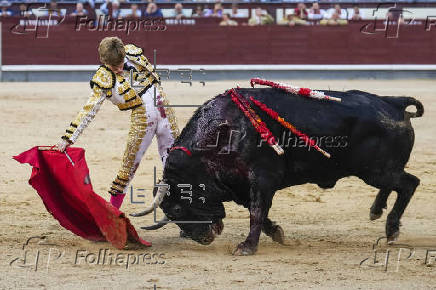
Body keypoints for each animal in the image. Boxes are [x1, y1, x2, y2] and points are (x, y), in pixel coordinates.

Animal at [132, 87, 422, 255]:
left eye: (177, 207)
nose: (201, 239)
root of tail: (393, 103)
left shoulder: (262, 178)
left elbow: (257, 211)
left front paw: (247, 247)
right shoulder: (240, 184)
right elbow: (256, 210)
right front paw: (276, 233)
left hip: (375, 170)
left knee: (409, 183)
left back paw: (391, 230)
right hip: (379, 171)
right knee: (395, 184)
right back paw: (376, 211)